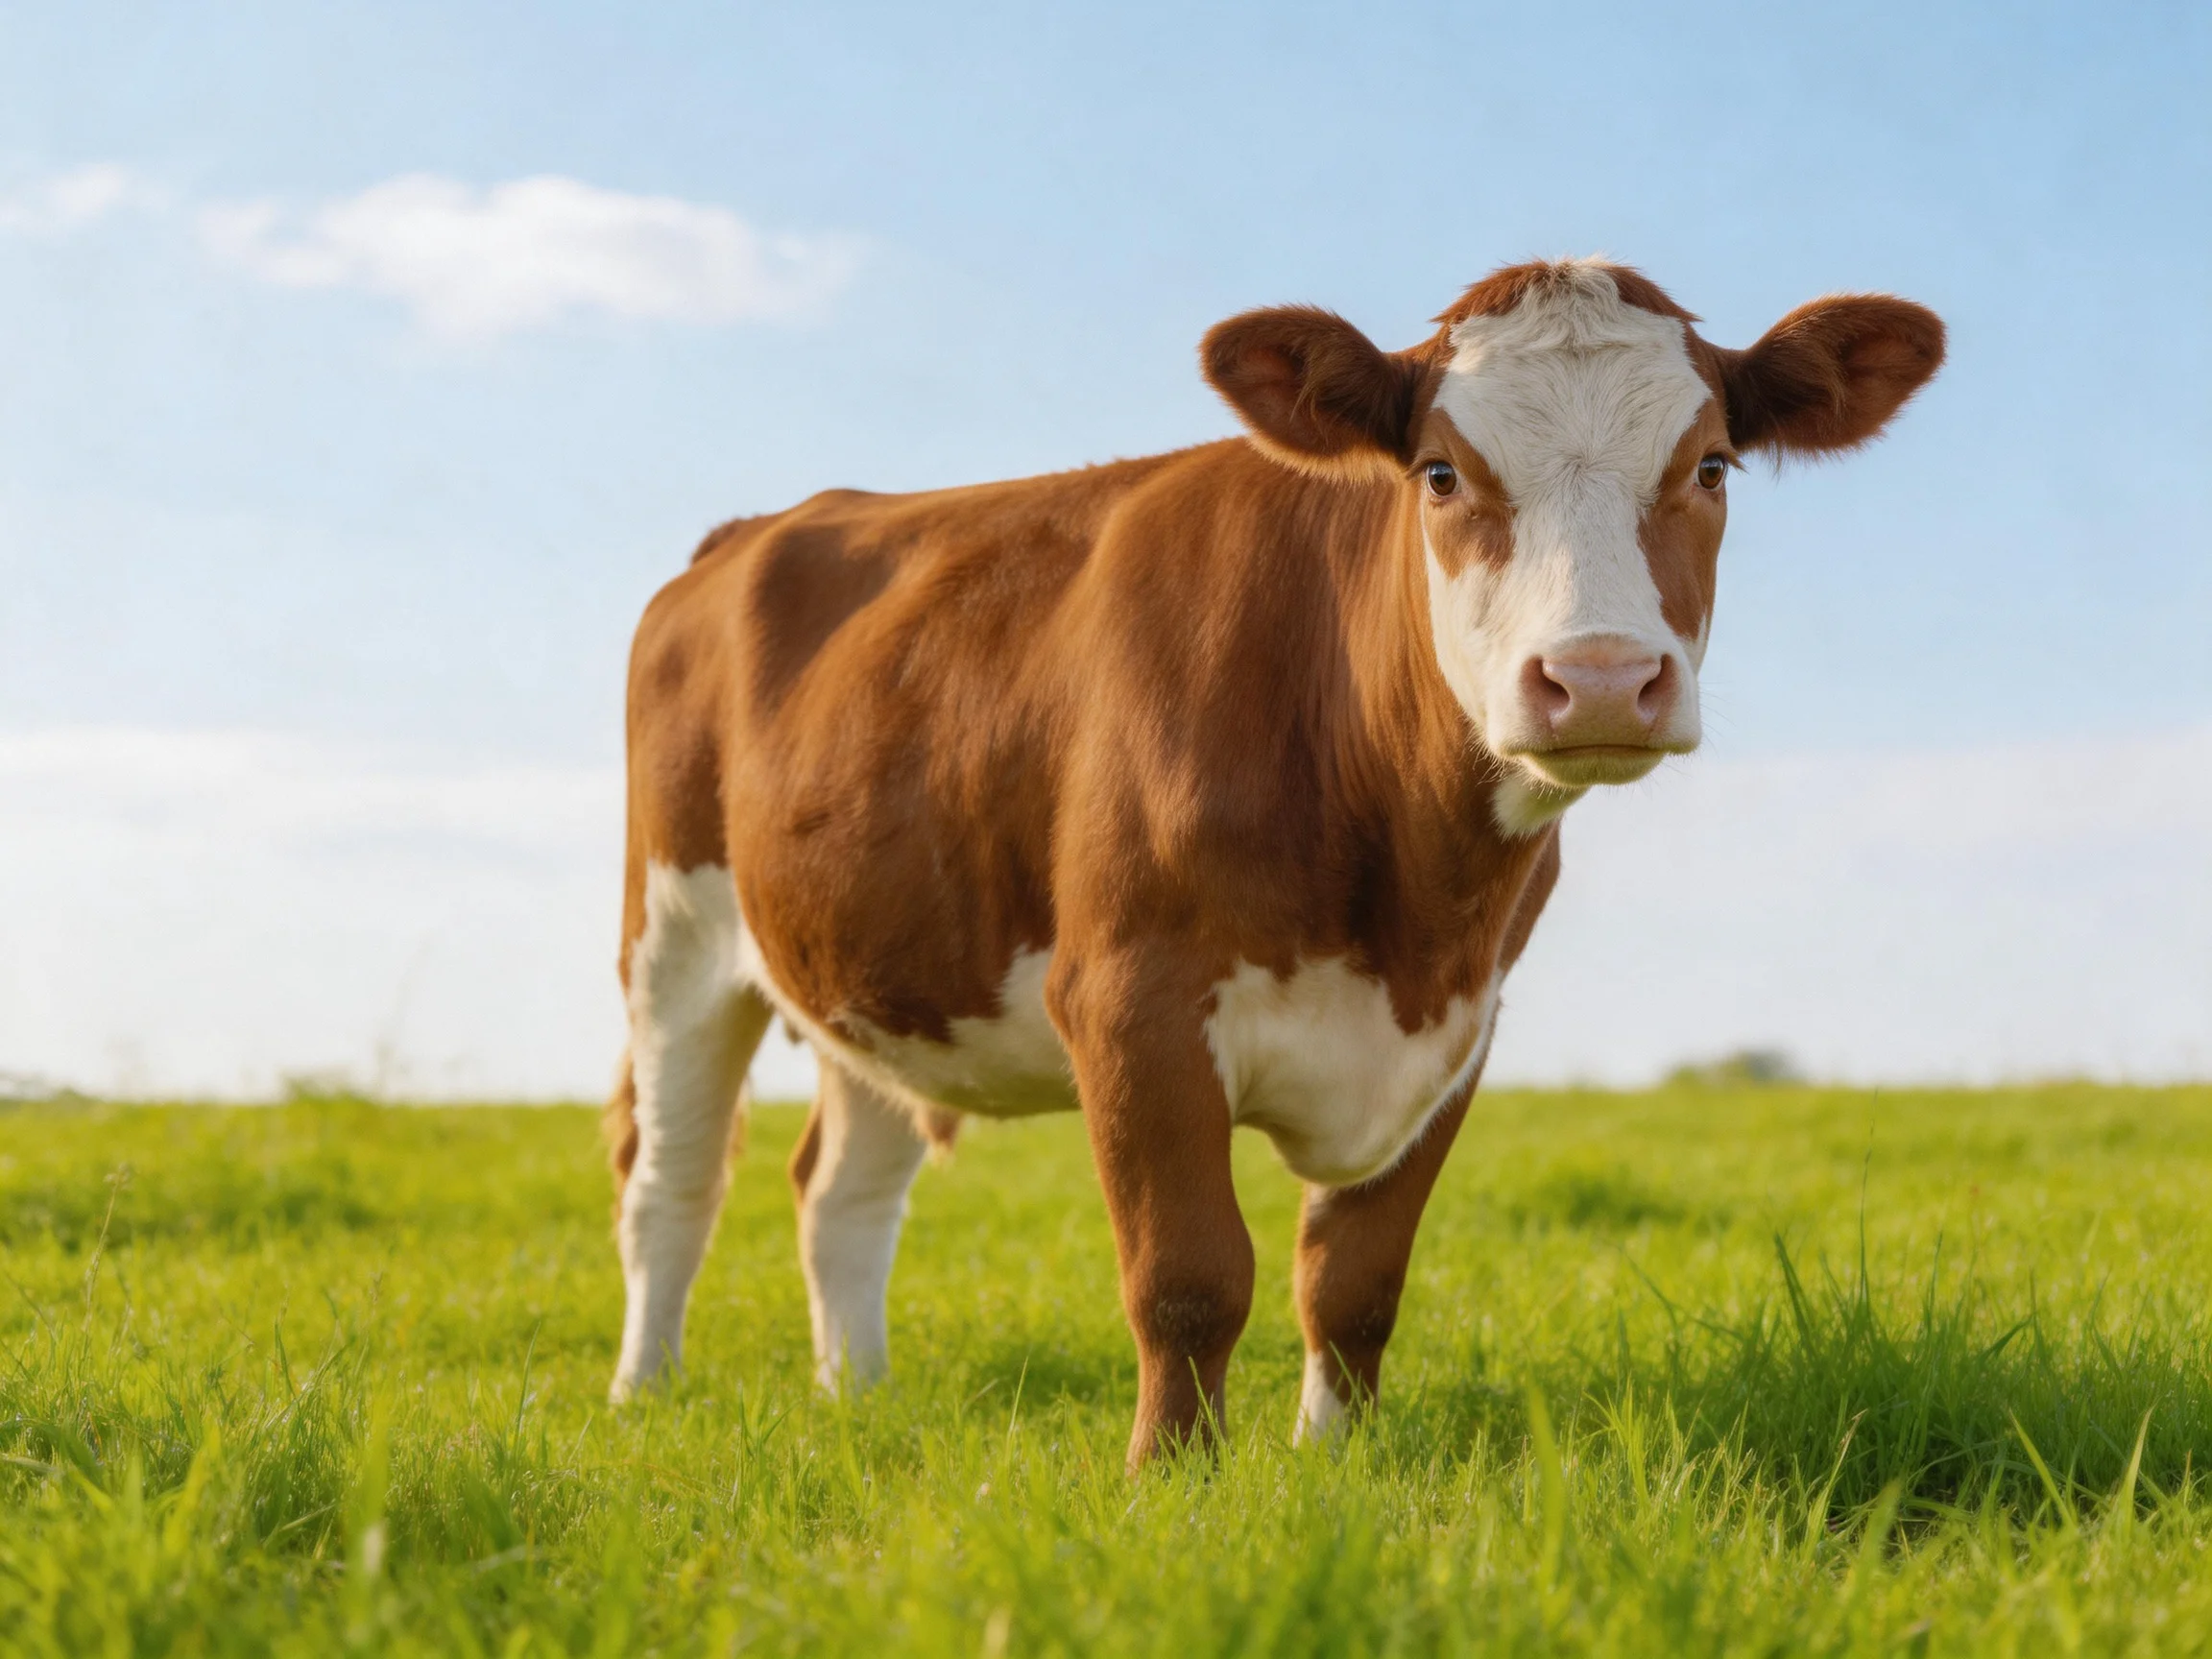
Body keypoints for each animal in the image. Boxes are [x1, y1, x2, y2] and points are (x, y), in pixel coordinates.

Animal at [602, 257, 1944, 1471]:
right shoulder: (1129, 997)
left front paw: (1332, 1463)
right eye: (1442, 473)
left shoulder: (1462, 1021)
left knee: (842, 1191)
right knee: (671, 1182)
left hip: (882, 966)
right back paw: (642, 1400)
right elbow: (1189, 1275)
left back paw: (859, 1400)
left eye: (1710, 466)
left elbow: (1352, 1281)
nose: (1602, 677)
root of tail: (755, 531)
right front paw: (1172, 1480)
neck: (1404, 895)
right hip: (675, 941)